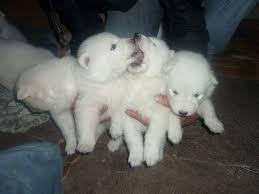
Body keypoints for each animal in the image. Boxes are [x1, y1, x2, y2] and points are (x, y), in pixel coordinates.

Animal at [107, 34, 177, 167]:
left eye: (154, 44)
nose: (136, 34)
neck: (140, 80)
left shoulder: (159, 115)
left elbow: (152, 135)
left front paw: (150, 156)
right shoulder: (127, 115)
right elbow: (133, 138)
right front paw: (135, 158)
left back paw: (159, 153)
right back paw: (114, 142)